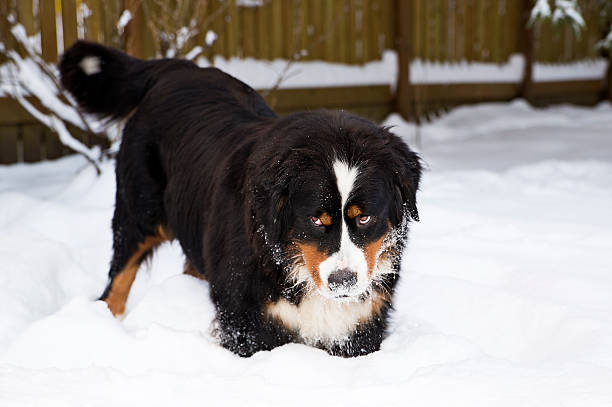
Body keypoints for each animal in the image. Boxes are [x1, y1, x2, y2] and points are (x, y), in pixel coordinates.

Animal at [59, 41, 424, 358]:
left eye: (364, 217)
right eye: (316, 219)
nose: (343, 281)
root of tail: (177, 68)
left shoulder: (362, 323)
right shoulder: (245, 321)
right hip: (138, 212)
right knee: (117, 282)